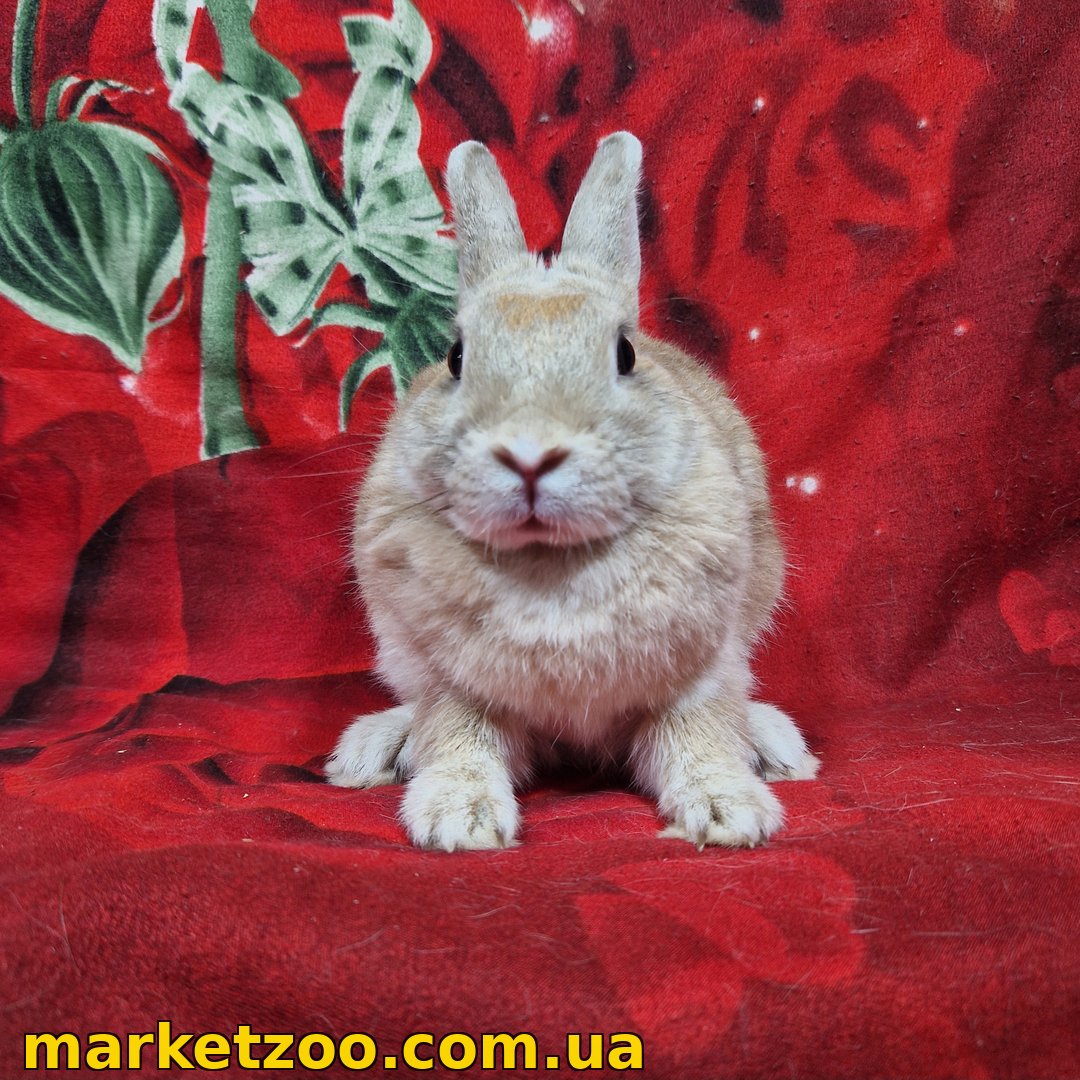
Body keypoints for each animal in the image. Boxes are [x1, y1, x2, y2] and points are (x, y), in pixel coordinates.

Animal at [325, 131, 819, 851]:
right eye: (456, 357)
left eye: (625, 355)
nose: (531, 454)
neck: (549, 559)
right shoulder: (454, 686)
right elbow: (457, 739)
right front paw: (460, 821)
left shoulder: (696, 676)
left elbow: (697, 737)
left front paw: (729, 815)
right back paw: (372, 751)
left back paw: (775, 745)